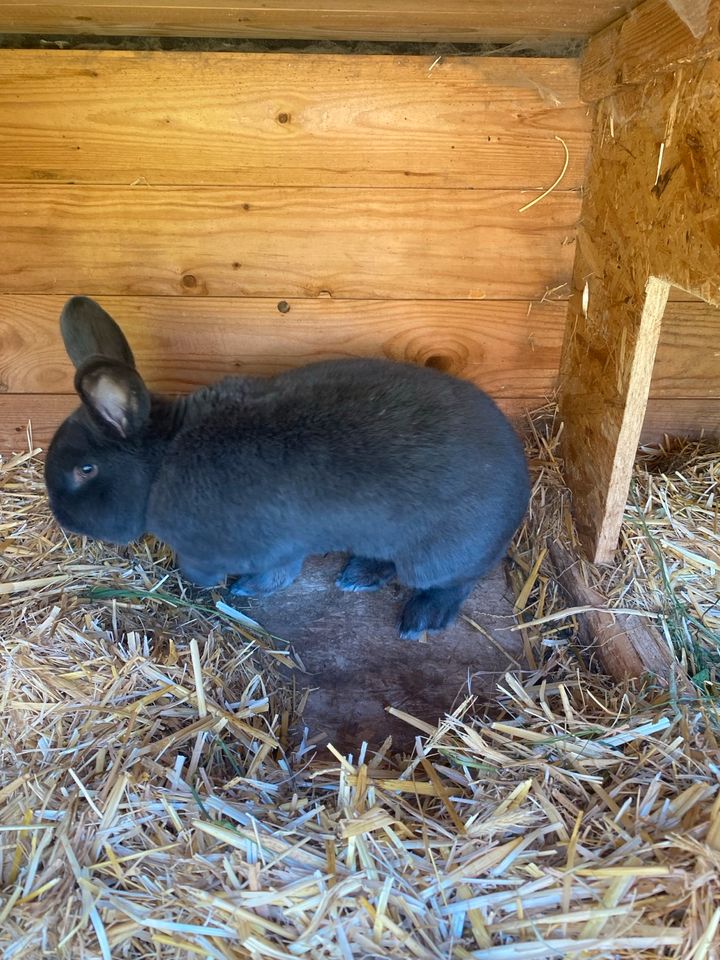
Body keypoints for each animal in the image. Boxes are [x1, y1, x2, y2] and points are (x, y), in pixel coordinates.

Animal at [43, 292, 528, 636]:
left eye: (85, 471)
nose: (61, 517)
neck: (161, 462)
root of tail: (521, 484)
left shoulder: (258, 547)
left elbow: (268, 576)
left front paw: (232, 587)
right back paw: (359, 575)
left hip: (440, 555)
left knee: (456, 581)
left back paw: (421, 618)